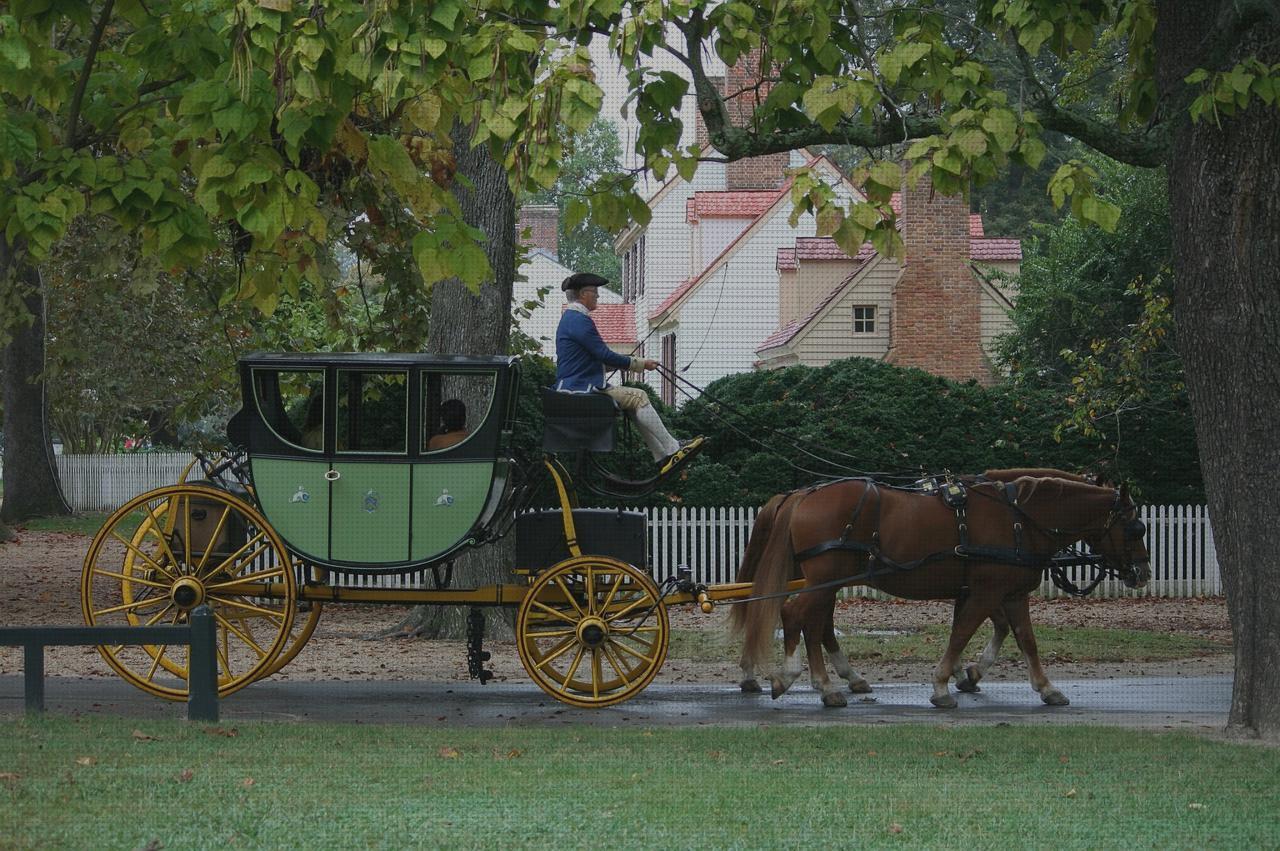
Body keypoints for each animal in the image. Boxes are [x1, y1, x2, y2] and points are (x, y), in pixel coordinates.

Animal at [732, 473, 1152, 706]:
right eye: (1136, 528)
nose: (1143, 572)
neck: (1018, 520)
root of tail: (803, 495)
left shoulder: (1010, 594)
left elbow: (1026, 640)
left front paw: (1046, 688)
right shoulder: (984, 593)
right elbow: (962, 634)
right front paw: (942, 685)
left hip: (826, 581)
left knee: (813, 624)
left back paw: (825, 682)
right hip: (823, 579)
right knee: (797, 616)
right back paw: (802, 679)